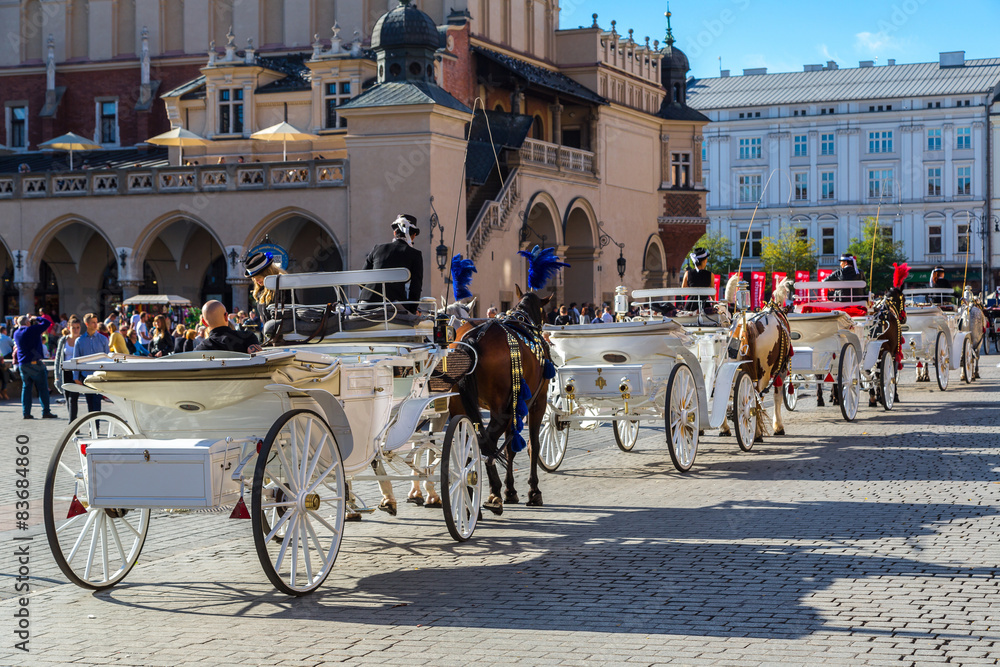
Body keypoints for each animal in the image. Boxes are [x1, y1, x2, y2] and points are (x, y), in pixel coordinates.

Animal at [448, 286, 553, 514]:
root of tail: (474, 339)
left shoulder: (515, 406)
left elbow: (511, 448)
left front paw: (510, 490)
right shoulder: (537, 403)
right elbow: (533, 444)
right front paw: (533, 491)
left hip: (460, 406)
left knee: (468, 441)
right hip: (501, 410)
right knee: (486, 442)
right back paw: (492, 493)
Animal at [719, 277, 794, 441]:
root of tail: (749, 323)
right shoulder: (781, 370)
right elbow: (777, 396)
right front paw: (778, 426)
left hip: (732, 365)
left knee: (730, 393)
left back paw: (725, 427)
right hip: (764, 371)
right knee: (756, 394)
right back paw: (758, 432)